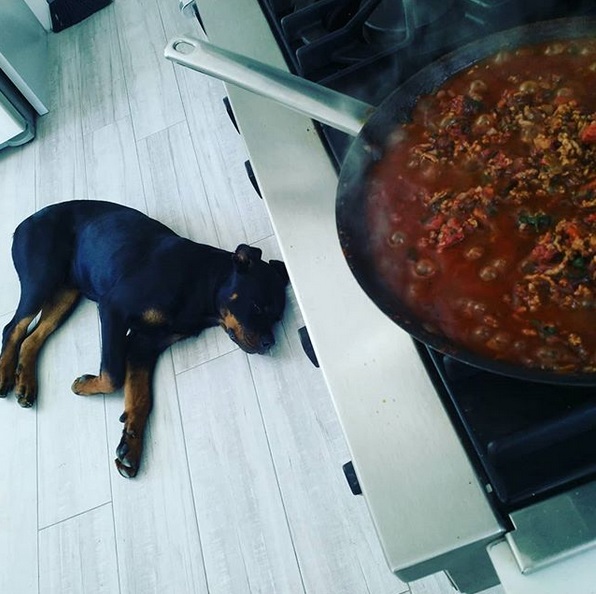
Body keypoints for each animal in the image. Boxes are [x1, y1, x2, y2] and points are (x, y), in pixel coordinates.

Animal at [0, 199, 288, 476]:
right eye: (256, 307)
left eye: (277, 317)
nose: (269, 343)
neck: (202, 283)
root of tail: (24, 223)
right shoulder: (113, 308)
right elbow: (113, 376)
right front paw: (85, 385)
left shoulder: (144, 344)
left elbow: (141, 396)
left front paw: (131, 444)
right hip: (42, 277)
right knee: (13, 327)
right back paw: (5, 376)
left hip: (67, 293)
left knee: (33, 336)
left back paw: (25, 382)